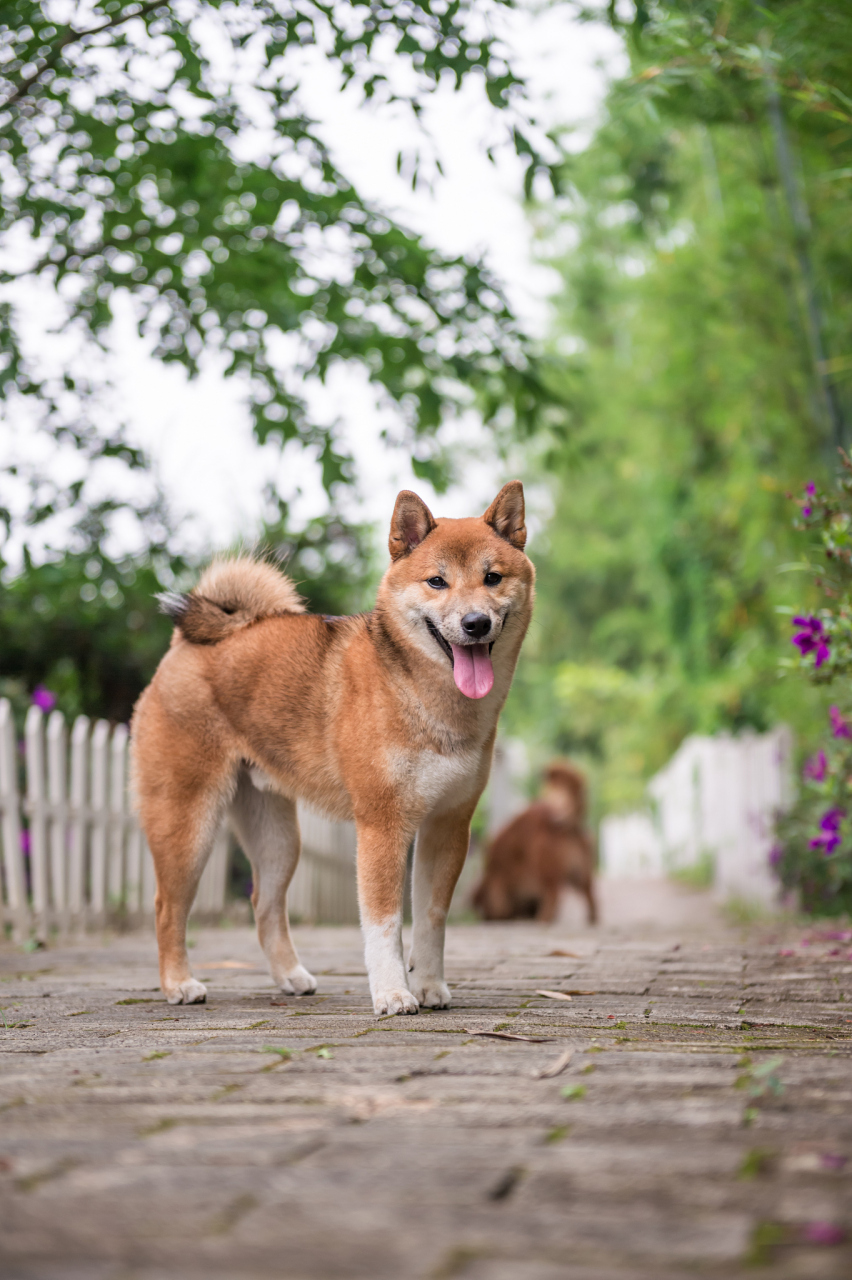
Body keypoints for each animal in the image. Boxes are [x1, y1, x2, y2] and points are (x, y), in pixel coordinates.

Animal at [129, 483, 532, 1013]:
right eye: (437, 581)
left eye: (492, 577)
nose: (475, 623)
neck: (426, 697)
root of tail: (185, 646)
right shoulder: (383, 825)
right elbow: (384, 925)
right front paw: (393, 994)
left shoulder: (447, 824)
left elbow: (431, 918)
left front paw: (428, 985)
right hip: (187, 822)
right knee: (166, 906)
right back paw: (179, 983)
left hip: (278, 837)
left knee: (264, 903)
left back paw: (290, 976)